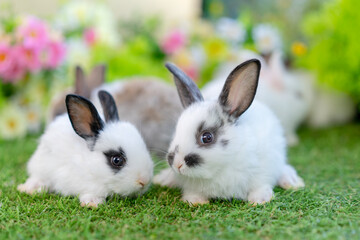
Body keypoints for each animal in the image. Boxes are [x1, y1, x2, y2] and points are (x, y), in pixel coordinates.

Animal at [153, 59, 306, 205]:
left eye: (206, 137)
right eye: (176, 131)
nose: (177, 164)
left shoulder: (262, 173)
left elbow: (260, 186)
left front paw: (259, 200)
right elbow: (192, 193)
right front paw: (195, 201)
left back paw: (293, 182)